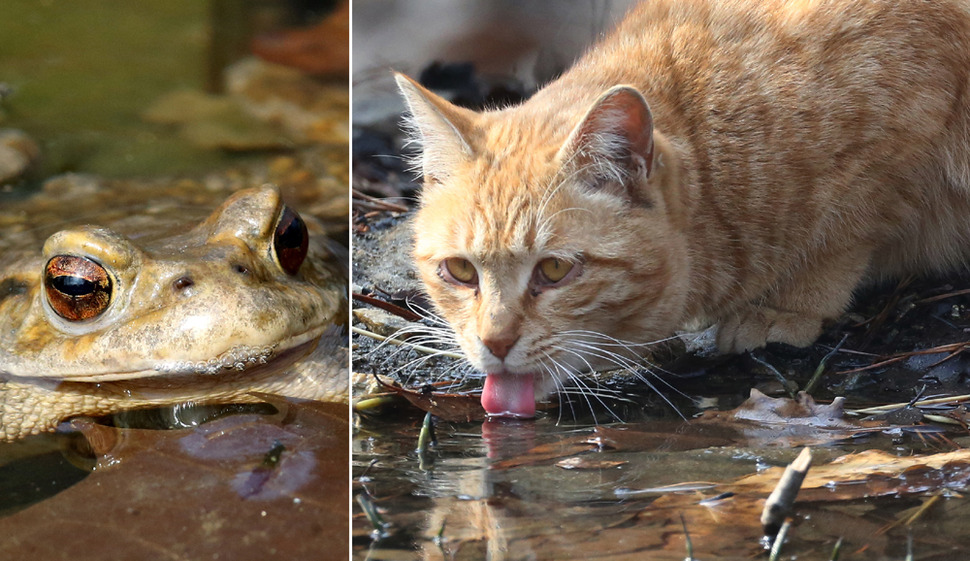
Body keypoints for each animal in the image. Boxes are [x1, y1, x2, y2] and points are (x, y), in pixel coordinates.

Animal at [392, 0, 968, 418]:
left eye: (554, 270)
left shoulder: (892, 148)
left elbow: (841, 238)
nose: (495, 342)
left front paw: (787, 306)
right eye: (460, 270)